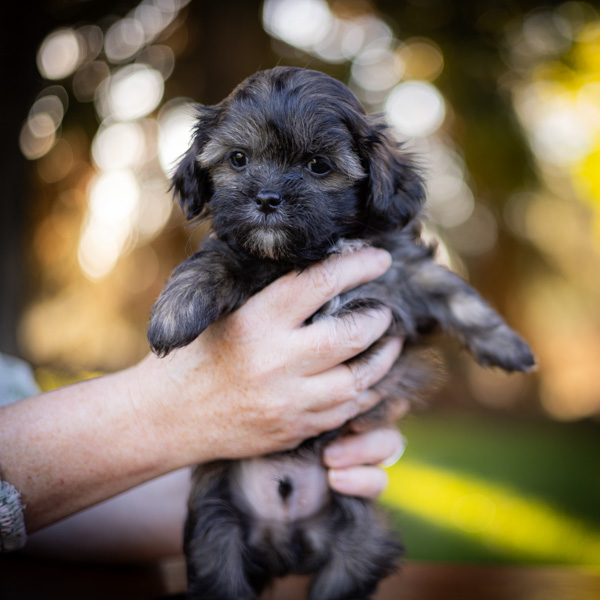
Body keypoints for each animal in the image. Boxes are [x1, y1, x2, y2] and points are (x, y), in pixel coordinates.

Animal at [146, 67, 536, 600]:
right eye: (238, 159)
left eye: (318, 166)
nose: (266, 199)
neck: (316, 250)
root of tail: (284, 540)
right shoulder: (246, 257)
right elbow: (215, 258)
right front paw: (173, 315)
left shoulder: (401, 268)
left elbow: (454, 292)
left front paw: (507, 347)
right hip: (213, 532)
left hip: (361, 542)